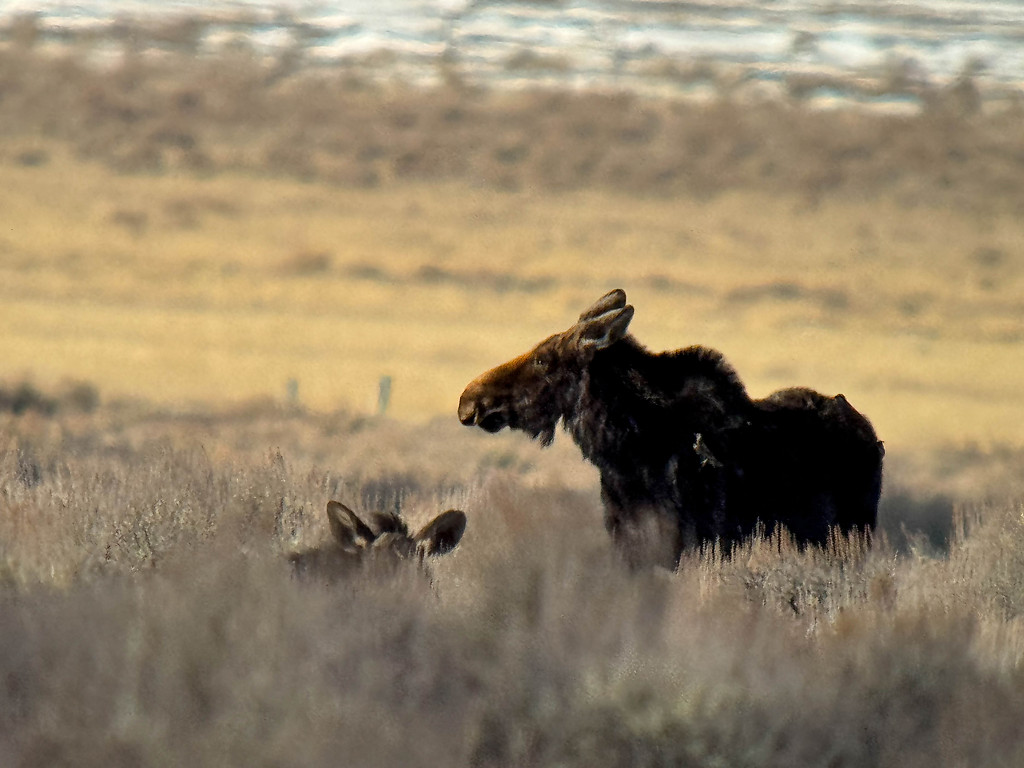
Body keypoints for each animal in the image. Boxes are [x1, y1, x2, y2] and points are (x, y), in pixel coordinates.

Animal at [458, 288, 883, 569]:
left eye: (544, 359)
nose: (469, 401)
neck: (627, 453)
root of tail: (870, 435)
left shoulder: (702, 541)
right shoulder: (630, 545)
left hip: (852, 531)